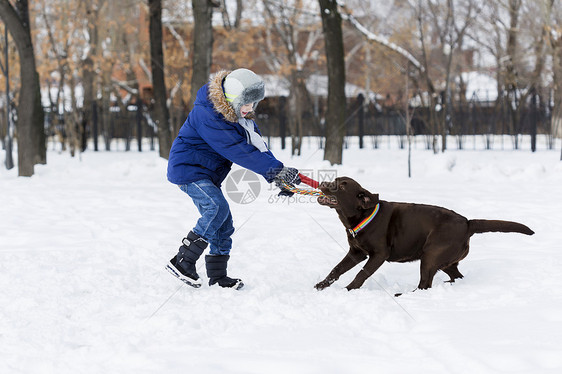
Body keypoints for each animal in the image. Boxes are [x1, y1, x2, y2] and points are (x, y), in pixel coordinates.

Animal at [316, 178, 528, 292]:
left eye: (342, 186)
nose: (322, 182)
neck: (364, 216)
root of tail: (467, 223)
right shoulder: (356, 253)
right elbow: (336, 269)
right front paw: (321, 285)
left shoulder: (379, 255)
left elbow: (362, 273)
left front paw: (348, 289)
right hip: (445, 261)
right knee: (455, 277)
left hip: (430, 256)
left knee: (424, 284)